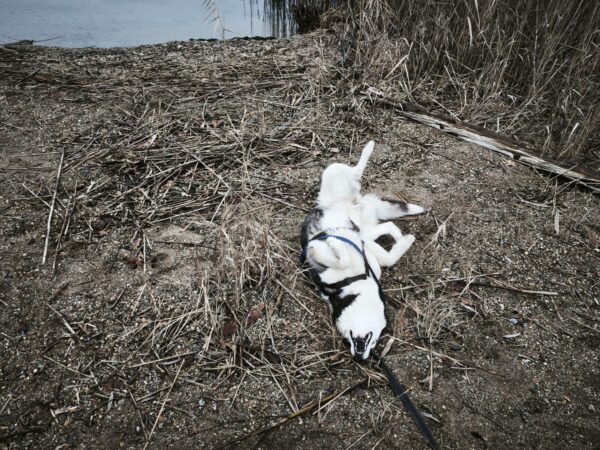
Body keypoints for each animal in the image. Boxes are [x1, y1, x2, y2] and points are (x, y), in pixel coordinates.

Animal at [301, 141, 425, 360]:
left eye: (375, 342)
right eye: (345, 339)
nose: (360, 357)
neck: (357, 283)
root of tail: (356, 204)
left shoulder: (366, 251)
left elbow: (385, 259)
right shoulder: (316, 249)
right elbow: (342, 256)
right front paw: (336, 245)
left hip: (362, 223)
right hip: (334, 176)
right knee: (355, 172)